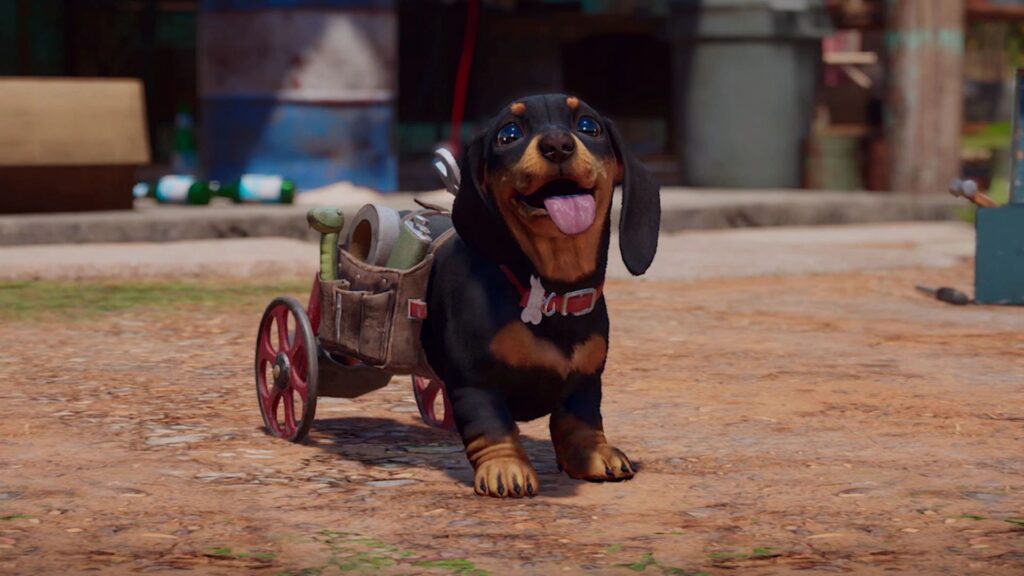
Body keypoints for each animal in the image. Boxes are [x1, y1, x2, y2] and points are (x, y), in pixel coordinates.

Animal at [419, 93, 659, 494]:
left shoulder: (586, 379)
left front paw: (595, 454)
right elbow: (491, 425)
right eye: (509, 134)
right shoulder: (474, 381)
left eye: (589, 126)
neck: (551, 291)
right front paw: (504, 467)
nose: (557, 144)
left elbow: (581, 420)